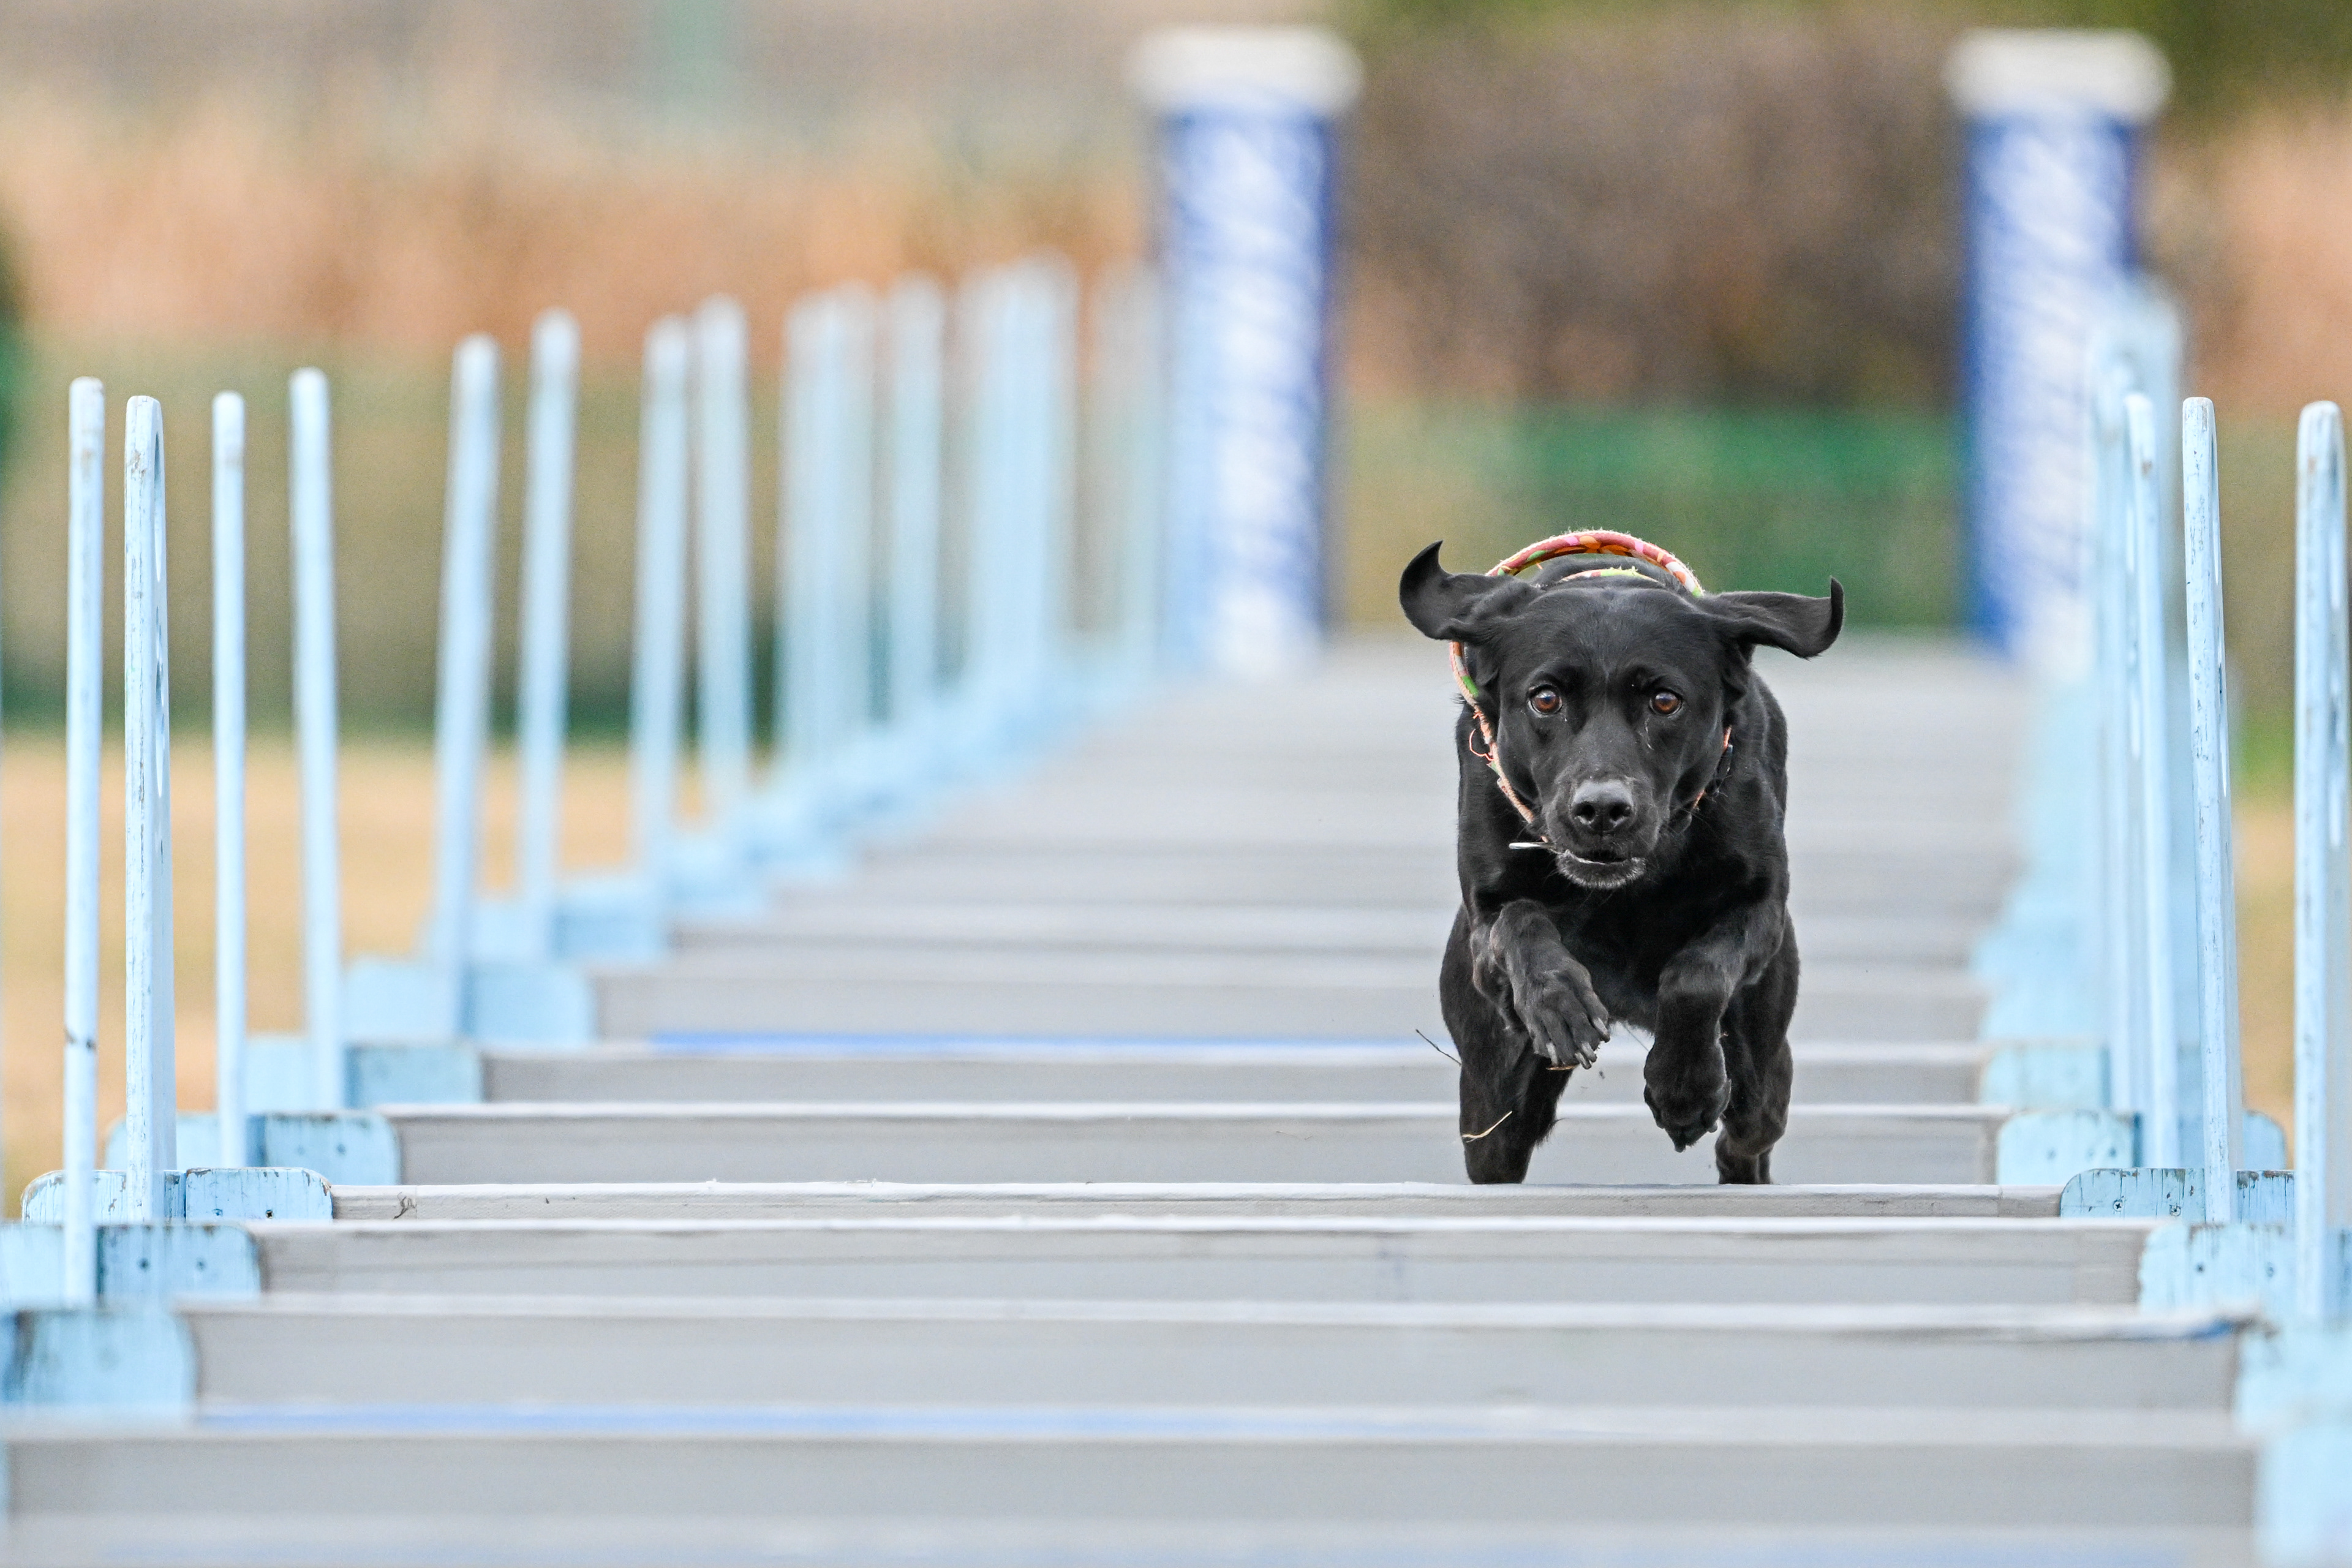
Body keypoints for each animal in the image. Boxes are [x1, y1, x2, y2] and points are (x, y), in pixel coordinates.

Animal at [1399, 536, 1842, 1184]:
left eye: (1665, 701)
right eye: (1545, 698)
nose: (1602, 810)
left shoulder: (1760, 906)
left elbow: (1697, 975)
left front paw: (1684, 1089)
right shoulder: (1487, 920)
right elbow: (1518, 922)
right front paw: (1559, 1005)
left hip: (1764, 1059)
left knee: (1751, 1127)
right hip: (1491, 1106)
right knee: (1496, 1137)